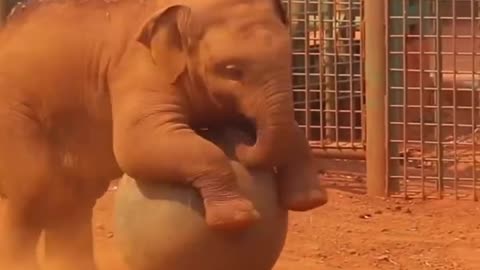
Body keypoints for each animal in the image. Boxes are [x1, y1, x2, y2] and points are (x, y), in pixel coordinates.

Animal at [0, 0, 326, 268]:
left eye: (290, 59)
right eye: (232, 70)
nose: (243, 142)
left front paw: (309, 200)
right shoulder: (136, 68)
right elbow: (137, 145)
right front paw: (236, 219)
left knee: (74, 198)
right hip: (14, 115)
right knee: (33, 190)